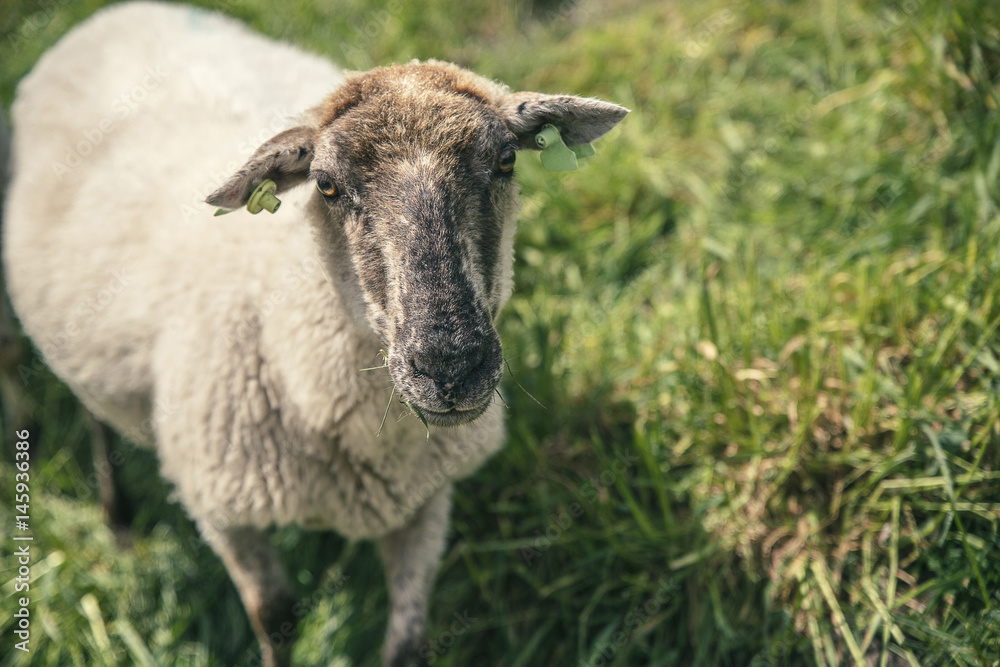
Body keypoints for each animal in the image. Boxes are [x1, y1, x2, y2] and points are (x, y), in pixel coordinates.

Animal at [3, 2, 627, 665]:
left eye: (506, 161)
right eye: (326, 184)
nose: (452, 368)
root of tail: (119, 13)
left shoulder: (426, 499)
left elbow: (407, 640)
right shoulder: (223, 504)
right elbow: (274, 617)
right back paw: (116, 519)